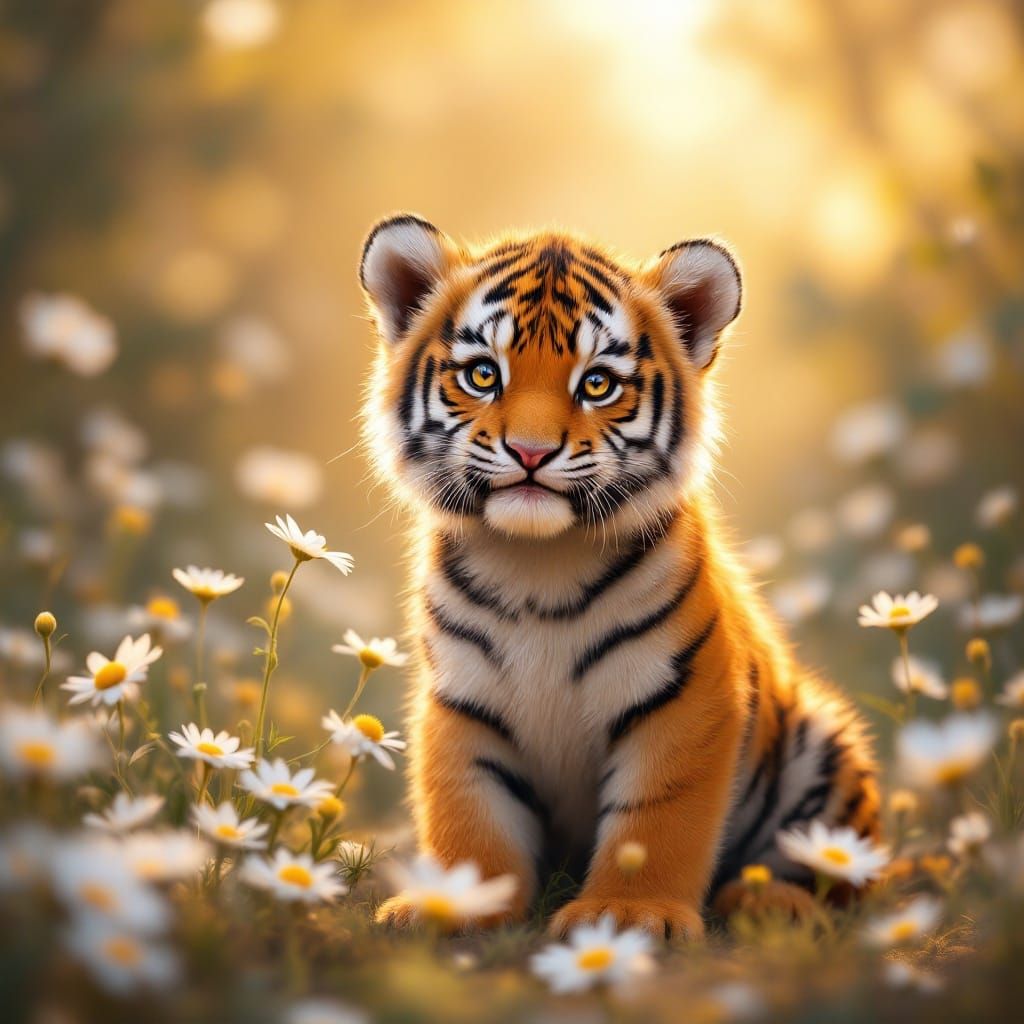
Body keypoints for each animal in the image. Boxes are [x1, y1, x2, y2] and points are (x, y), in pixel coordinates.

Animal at [358, 213, 880, 938]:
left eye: (597, 383)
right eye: (484, 374)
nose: (530, 452)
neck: (538, 565)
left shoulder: (684, 699)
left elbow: (654, 821)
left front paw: (630, 915)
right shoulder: (463, 702)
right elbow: (470, 816)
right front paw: (453, 902)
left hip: (820, 749)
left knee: (839, 872)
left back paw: (771, 902)